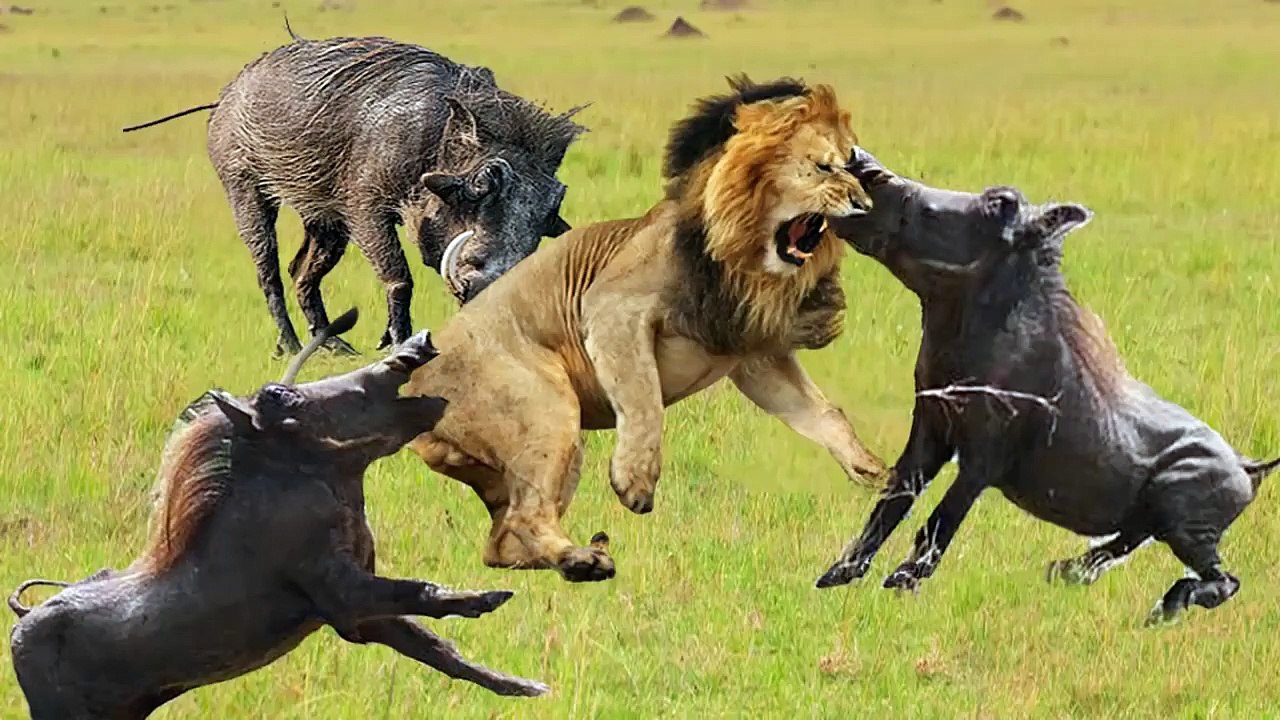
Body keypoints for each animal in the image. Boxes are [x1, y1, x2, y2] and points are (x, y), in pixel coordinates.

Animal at [404, 75, 888, 582]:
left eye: (854, 166)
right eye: (822, 167)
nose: (864, 204)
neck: (745, 263)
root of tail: (412, 385)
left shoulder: (753, 356)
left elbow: (823, 414)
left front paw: (877, 473)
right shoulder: (612, 307)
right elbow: (644, 398)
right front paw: (635, 482)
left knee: (500, 543)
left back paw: (584, 557)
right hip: (548, 411)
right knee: (525, 518)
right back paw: (585, 559)